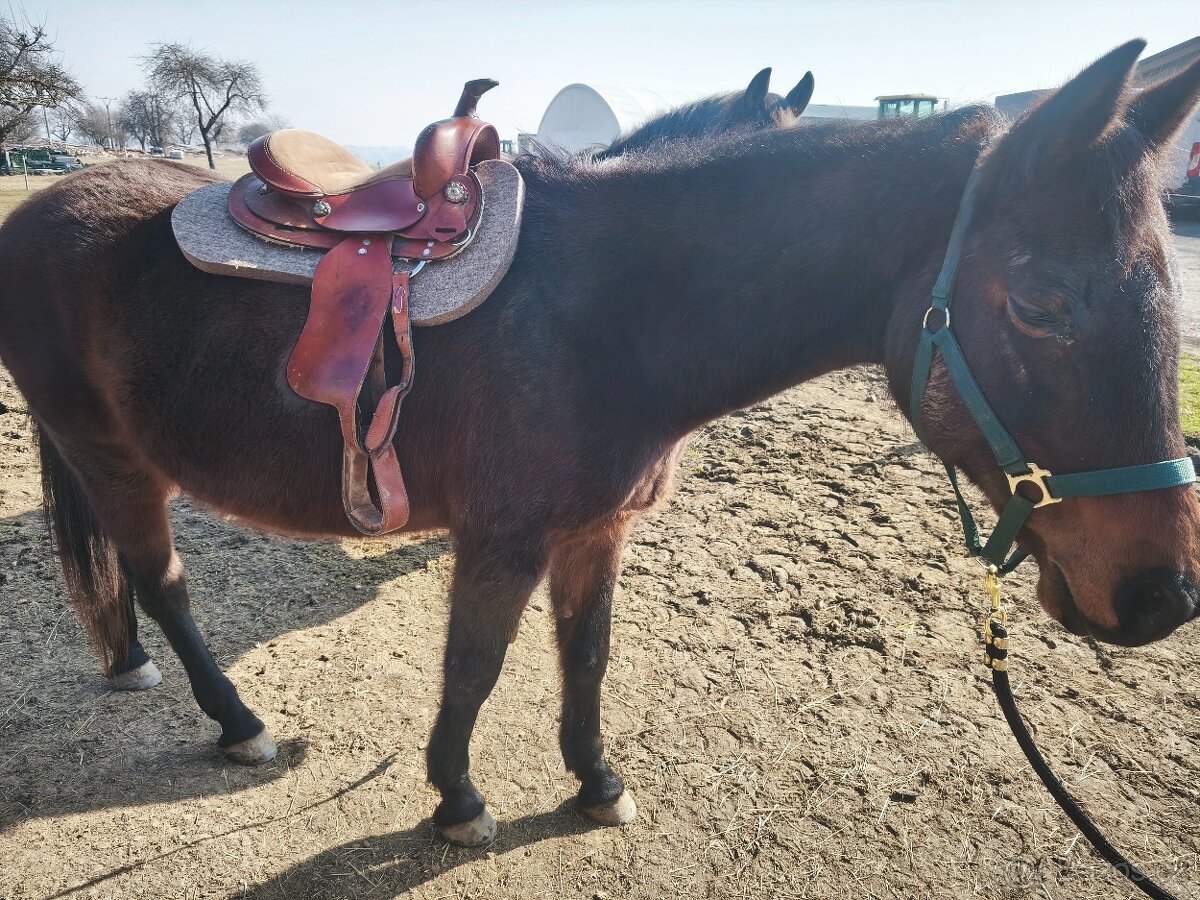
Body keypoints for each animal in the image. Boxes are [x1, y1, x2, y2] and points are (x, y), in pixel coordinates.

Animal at [0, 40, 1197, 848]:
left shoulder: (595, 533)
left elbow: (584, 658)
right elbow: (477, 668)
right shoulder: (503, 540)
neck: (610, 310)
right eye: (1040, 301)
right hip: (112, 457)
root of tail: (43, 205)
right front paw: (459, 800)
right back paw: (238, 721)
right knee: (163, 584)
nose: (1161, 597)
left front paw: (594, 783)